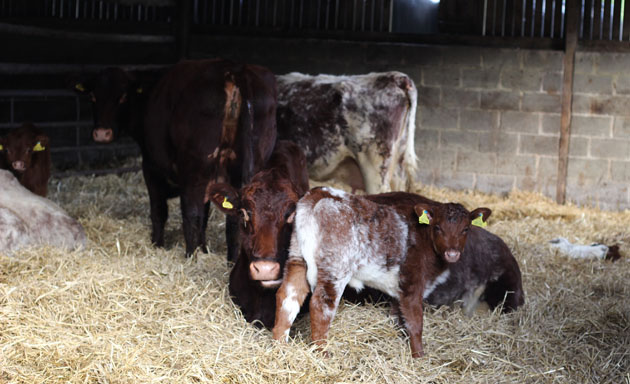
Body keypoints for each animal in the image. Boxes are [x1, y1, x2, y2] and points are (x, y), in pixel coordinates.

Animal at [73, 60, 278, 258]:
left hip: (195, 170)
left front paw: (157, 245)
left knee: (191, 214)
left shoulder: (151, 168)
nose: (102, 133)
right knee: (234, 218)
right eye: (92, 97)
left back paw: (190, 256)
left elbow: (159, 211)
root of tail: (234, 69)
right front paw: (204, 249)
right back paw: (230, 260)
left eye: (122, 97)